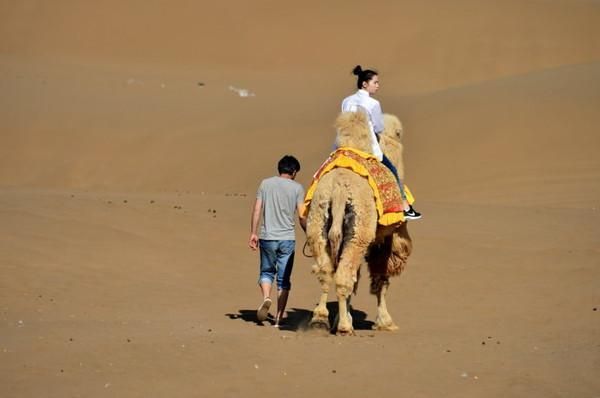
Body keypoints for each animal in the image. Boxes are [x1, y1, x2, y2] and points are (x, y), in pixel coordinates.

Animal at [304, 110, 412, 334]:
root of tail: (338, 189)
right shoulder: (385, 238)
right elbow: (381, 278)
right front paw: (385, 322)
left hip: (319, 227)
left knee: (326, 273)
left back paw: (320, 320)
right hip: (358, 235)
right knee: (344, 276)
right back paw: (344, 327)